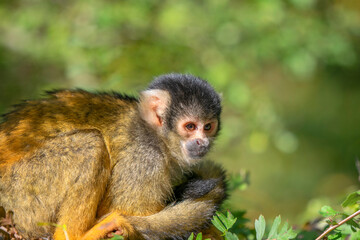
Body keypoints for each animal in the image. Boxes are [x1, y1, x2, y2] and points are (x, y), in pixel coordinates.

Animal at [0, 74, 225, 239]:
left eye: (208, 127)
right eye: (190, 127)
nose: (202, 143)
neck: (156, 135)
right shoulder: (143, 159)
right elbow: (127, 209)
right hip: (19, 192)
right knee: (91, 143)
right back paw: (77, 235)